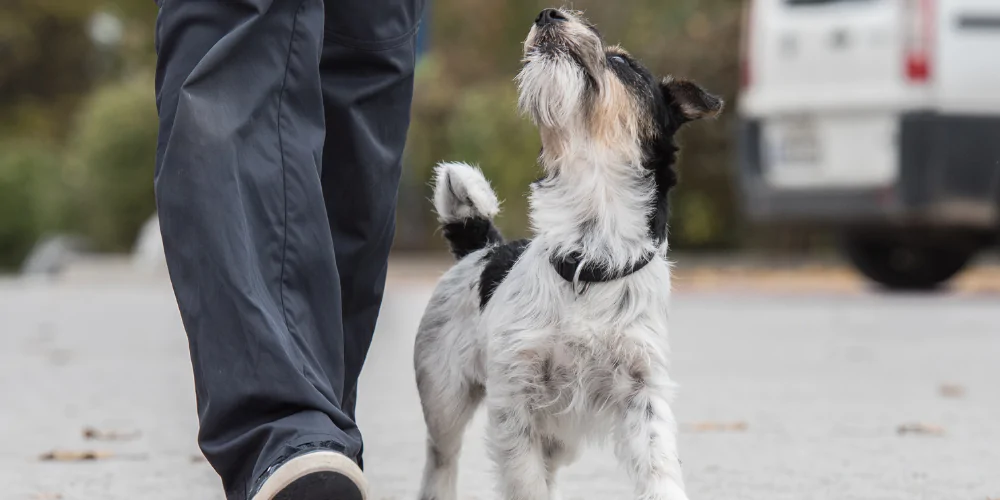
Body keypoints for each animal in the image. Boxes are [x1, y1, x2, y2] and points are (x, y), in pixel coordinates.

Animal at [410, 7, 724, 500]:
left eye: (623, 63)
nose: (547, 13)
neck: (589, 260)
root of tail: (482, 246)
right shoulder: (515, 402)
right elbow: (525, 483)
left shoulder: (642, 393)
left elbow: (659, 469)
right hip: (445, 401)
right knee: (441, 461)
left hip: (560, 437)